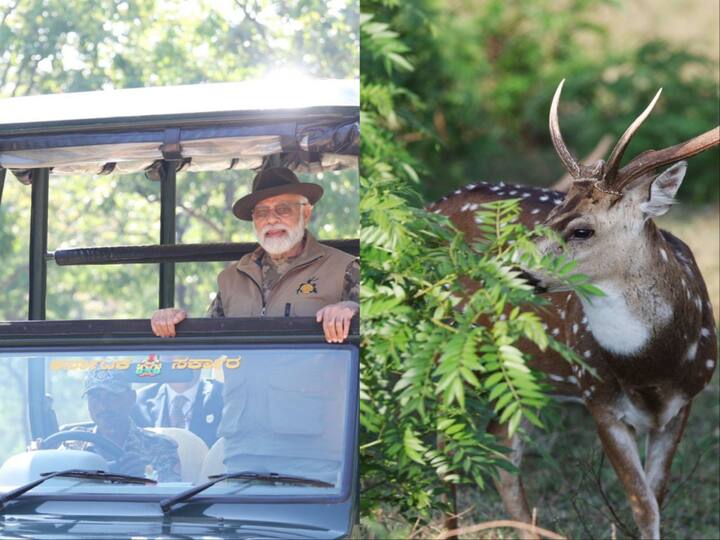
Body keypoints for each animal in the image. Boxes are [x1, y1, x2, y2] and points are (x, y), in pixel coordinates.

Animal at [430, 81, 716, 540]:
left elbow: (656, 501)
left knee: (503, 452)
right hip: (447, 343)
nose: (502, 266)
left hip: (530, 376)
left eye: (582, 230)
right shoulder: (596, 396)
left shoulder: (687, 400)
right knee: (446, 446)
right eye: (552, 212)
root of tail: (431, 206)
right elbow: (643, 505)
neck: (654, 369)